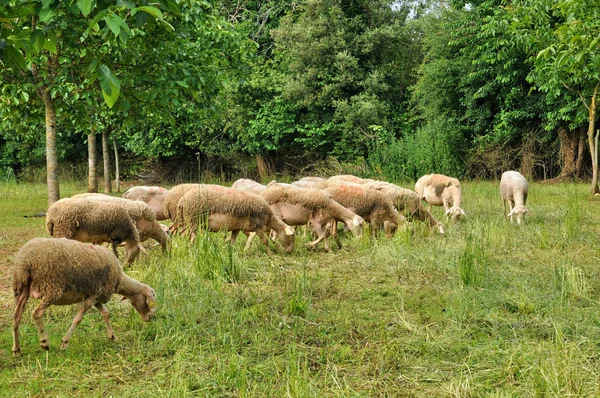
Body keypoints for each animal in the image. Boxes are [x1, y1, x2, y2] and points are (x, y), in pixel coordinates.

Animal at [12, 238, 157, 356]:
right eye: (149, 301)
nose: (149, 318)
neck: (119, 280)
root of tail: (25, 261)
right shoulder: (91, 298)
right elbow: (78, 319)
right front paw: (65, 342)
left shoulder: (96, 296)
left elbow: (106, 313)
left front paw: (112, 336)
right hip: (52, 288)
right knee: (36, 313)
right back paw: (44, 343)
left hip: (22, 289)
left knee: (16, 317)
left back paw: (17, 349)